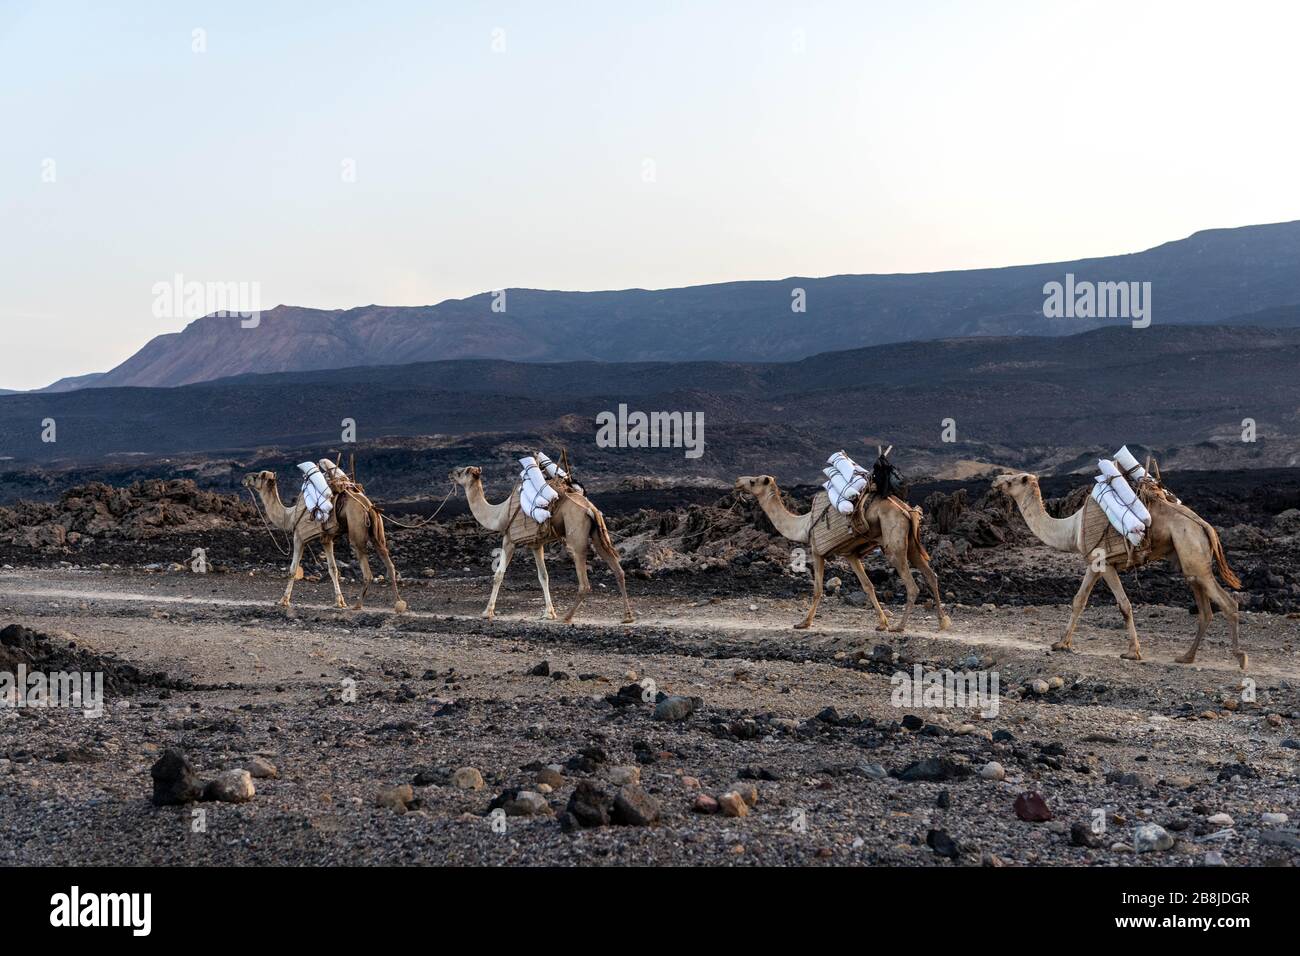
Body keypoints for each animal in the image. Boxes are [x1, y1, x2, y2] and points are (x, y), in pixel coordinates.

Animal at [243, 468, 405, 613]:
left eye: (258, 476)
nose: (245, 478)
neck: (289, 516)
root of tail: (369, 506)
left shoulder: (299, 537)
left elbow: (293, 569)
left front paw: (283, 601)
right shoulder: (327, 539)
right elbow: (333, 569)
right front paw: (340, 602)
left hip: (357, 530)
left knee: (367, 570)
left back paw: (358, 605)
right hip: (377, 532)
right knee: (389, 563)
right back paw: (399, 602)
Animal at [447, 465, 634, 629]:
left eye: (463, 471)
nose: (450, 473)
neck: (499, 514)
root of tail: (590, 508)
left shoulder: (509, 539)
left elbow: (499, 574)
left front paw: (487, 612)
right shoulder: (536, 544)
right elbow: (543, 576)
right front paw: (549, 613)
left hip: (577, 535)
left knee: (584, 581)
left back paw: (567, 617)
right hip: (597, 534)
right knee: (618, 570)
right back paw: (627, 616)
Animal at [738, 476, 951, 632]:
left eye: (753, 481)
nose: (738, 482)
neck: (803, 525)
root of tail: (907, 511)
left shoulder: (817, 551)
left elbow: (817, 589)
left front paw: (803, 623)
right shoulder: (851, 555)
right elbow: (868, 586)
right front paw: (882, 623)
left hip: (894, 544)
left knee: (913, 585)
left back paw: (899, 627)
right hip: (912, 545)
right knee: (931, 575)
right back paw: (942, 621)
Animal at [987, 473, 1242, 671]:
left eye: (1012, 480)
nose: (995, 480)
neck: (1072, 529)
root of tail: (1206, 527)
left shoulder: (1103, 562)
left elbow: (1124, 604)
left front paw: (1132, 652)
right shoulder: (1093, 564)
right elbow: (1079, 600)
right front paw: (1061, 644)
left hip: (1192, 551)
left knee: (1228, 603)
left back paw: (1240, 658)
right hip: (1187, 559)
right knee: (1205, 609)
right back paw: (1186, 657)